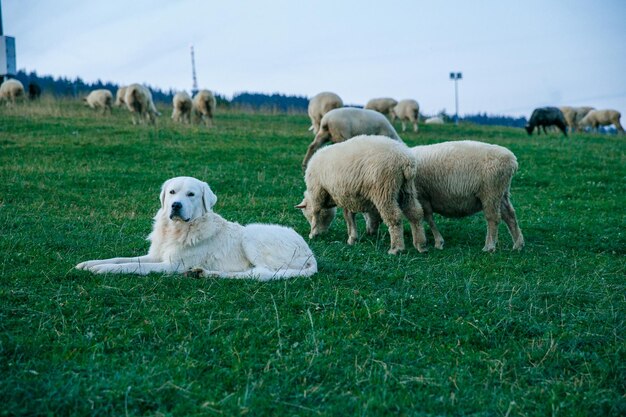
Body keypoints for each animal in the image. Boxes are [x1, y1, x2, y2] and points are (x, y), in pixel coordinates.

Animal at [74, 176, 316, 280]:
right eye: (172, 192)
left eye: (191, 194)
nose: (175, 205)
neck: (178, 229)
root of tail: (311, 255)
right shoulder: (156, 256)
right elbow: (120, 259)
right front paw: (89, 263)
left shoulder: (171, 266)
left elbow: (131, 266)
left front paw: (102, 270)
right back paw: (202, 272)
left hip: (252, 235)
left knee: (260, 273)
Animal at [294, 135, 426, 255]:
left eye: (307, 216)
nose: (322, 233)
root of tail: (405, 160)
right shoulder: (346, 196)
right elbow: (349, 217)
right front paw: (352, 238)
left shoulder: (317, 191)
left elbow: (316, 212)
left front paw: (313, 233)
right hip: (407, 189)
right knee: (415, 213)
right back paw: (420, 245)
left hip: (384, 190)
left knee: (394, 217)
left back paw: (396, 248)